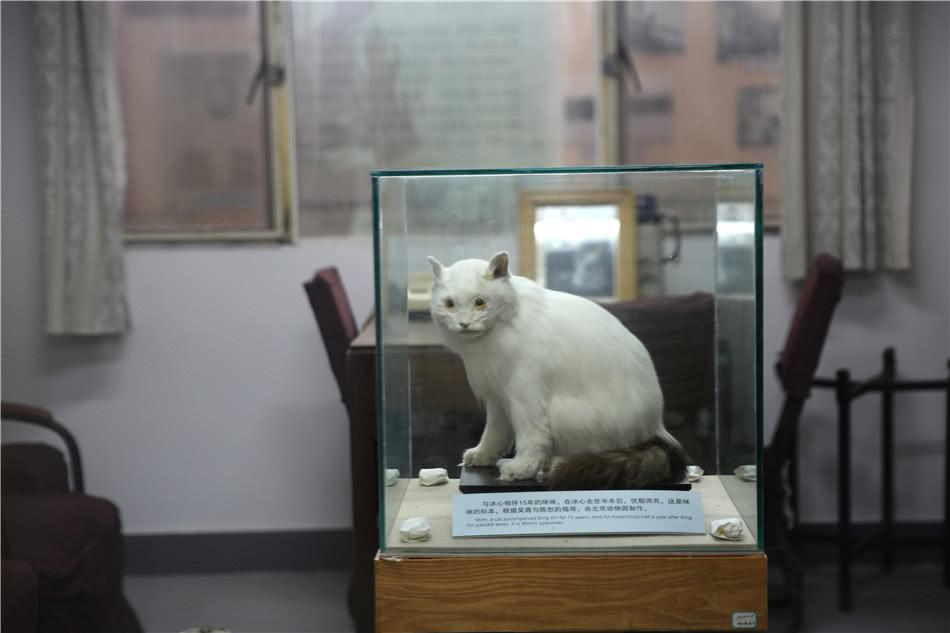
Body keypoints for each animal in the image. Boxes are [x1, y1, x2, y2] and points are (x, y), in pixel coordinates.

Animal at [428, 249, 688, 486]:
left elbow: (531, 437)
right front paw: (482, 455)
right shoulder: (497, 398)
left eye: (479, 303)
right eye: (450, 304)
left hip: (568, 416)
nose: (464, 324)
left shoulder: (525, 397)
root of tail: (657, 427)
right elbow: (494, 434)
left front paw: (522, 469)